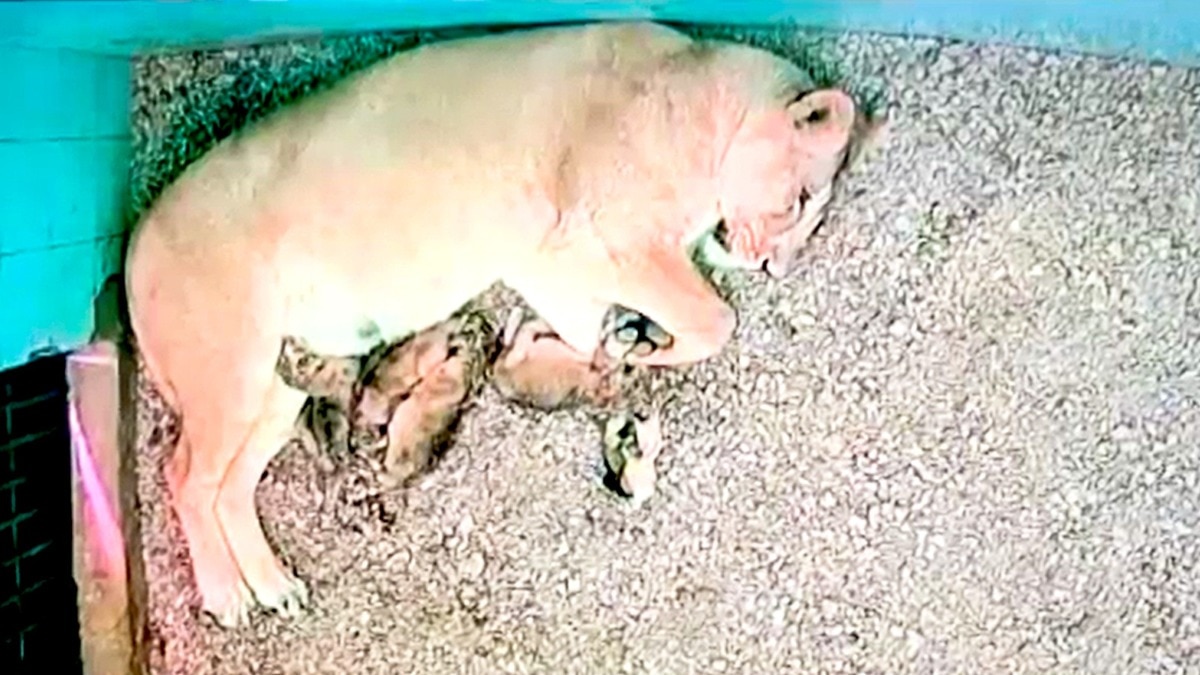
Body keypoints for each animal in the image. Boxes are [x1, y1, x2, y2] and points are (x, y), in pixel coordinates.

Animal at [125, 21, 881, 626]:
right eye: (802, 199)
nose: (774, 267)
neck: (699, 89)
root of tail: (132, 242)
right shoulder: (602, 239)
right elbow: (717, 317)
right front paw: (642, 348)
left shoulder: (554, 268)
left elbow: (585, 336)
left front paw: (607, 349)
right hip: (232, 367)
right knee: (184, 472)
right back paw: (226, 596)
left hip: (279, 384)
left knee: (230, 485)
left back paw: (273, 586)